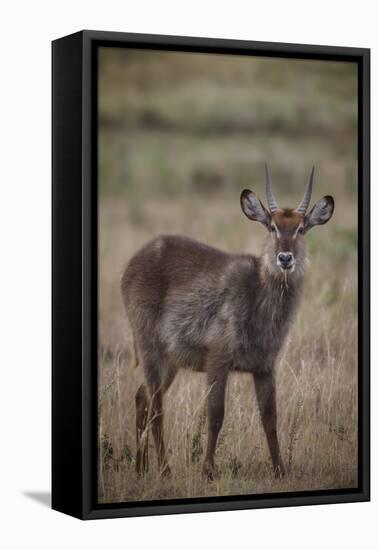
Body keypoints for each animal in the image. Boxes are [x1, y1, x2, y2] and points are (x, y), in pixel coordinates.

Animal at [121, 166, 336, 480]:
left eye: (301, 228)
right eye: (272, 226)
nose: (285, 258)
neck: (259, 300)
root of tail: (134, 261)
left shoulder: (265, 367)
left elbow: (270, 419)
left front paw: (280, 470)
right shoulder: (217, 360)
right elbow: (215, 416)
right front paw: (208, 471)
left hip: (170, 360)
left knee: (142, 397)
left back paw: (140, 467)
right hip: (150, 347)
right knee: (157, 407)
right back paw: (164, 470)